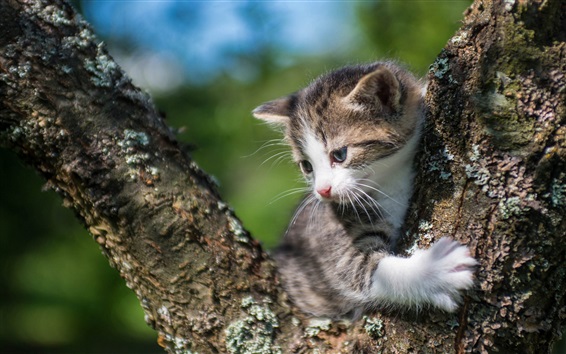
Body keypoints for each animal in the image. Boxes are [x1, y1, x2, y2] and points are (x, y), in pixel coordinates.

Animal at [254, 60, 480, 318]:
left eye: (339, 155)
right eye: (307, 166)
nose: (322, 191)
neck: (392, 181)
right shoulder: (333, 242)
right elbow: (364, 272)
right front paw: (434, 270)